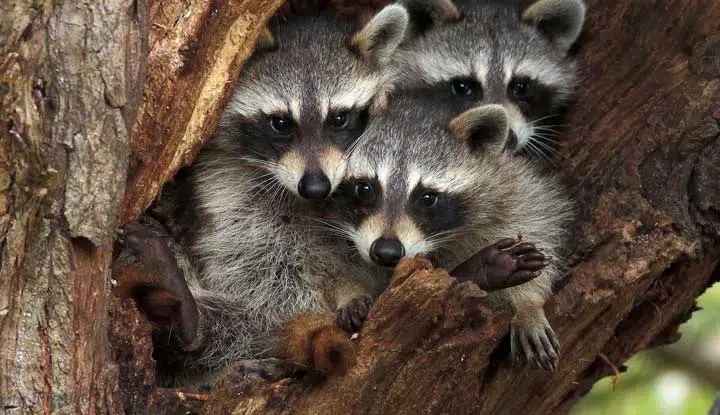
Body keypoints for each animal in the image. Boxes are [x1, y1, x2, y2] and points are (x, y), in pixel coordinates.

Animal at [330, 90, 572, 370]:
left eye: (427, 198)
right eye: (365, 188)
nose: (386, 251)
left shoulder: (508, 182)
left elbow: (537, 222)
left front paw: (528, 304)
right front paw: (349, 291)